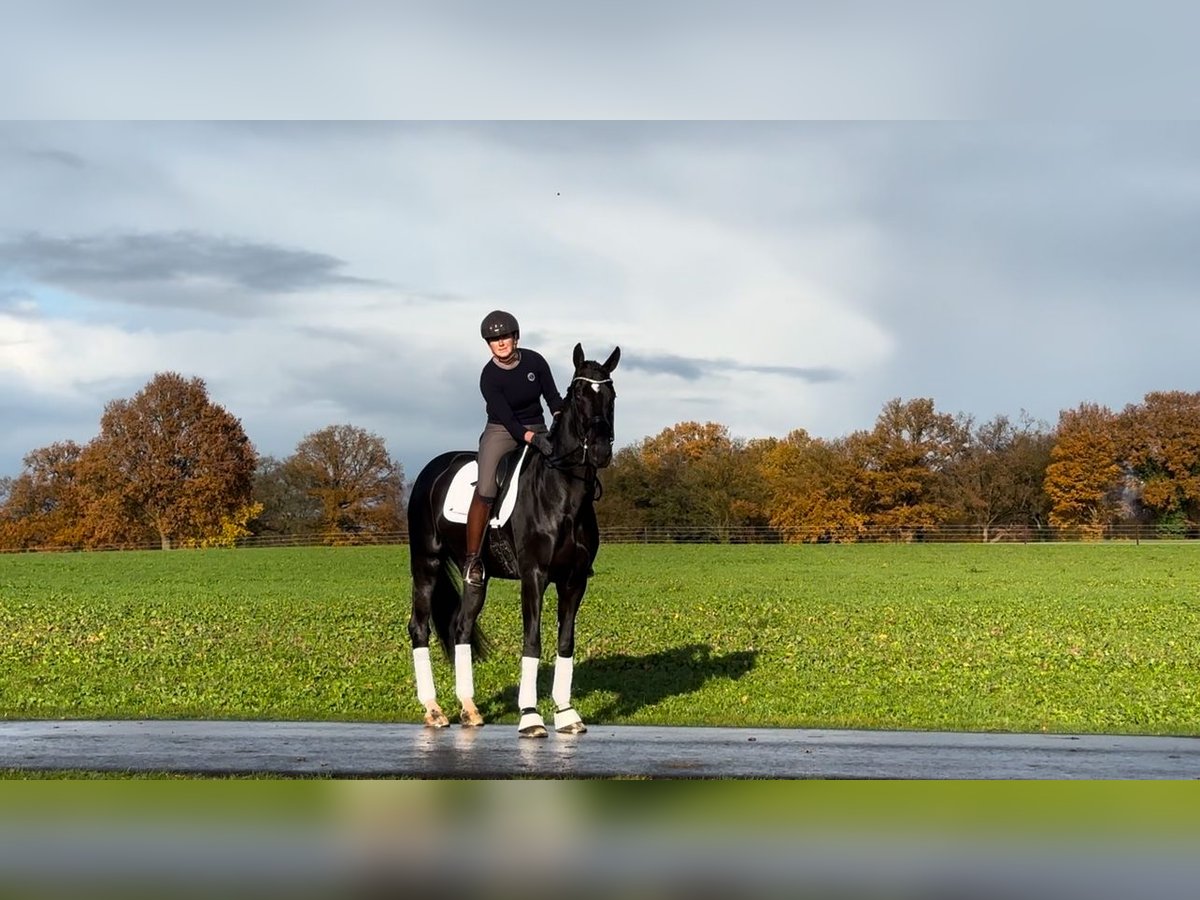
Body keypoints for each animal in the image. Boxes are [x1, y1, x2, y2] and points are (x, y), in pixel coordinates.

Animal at [410, 345, 624, 739]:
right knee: (419, 627)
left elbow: (565, 642)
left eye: (611, 394)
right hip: (426, 563)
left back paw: (469, 709)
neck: (563, 493)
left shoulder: (574, 581)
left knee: (460, 627)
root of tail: (432, 469)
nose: (601, 450)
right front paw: (530, 717)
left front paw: (567, 714)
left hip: (475, 576)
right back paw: (433, 710)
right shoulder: (534, 576)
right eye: (578, 394)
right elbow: (533, 640)